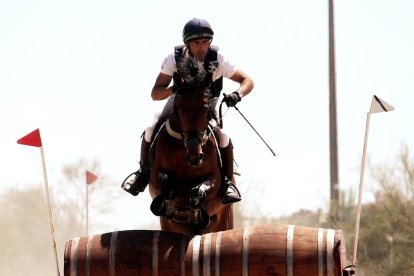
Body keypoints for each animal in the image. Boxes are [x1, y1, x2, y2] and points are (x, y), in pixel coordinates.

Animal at [148, 56, 233, 235]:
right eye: (179, 107)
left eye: (206, 108)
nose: (195, 157)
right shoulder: (155, 178)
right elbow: (165, 183)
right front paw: (169, 205)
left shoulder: (214, 179)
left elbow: (198, 192)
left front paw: (196, 215)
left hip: (224, 219)